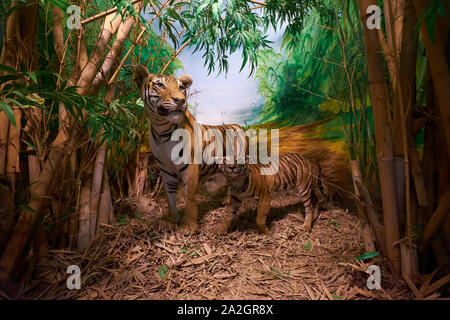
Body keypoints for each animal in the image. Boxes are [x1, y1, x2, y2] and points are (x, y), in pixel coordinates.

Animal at [134, 63, 246, 231]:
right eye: (160, 85)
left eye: (181, 88)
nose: (180, 101)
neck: (162, 129)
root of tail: (239, 125)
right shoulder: (165, 169)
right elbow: (170, 196)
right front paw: (172, 220)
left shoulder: (190, 166)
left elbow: (189, 197)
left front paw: (189, 225)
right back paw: (227, 199)